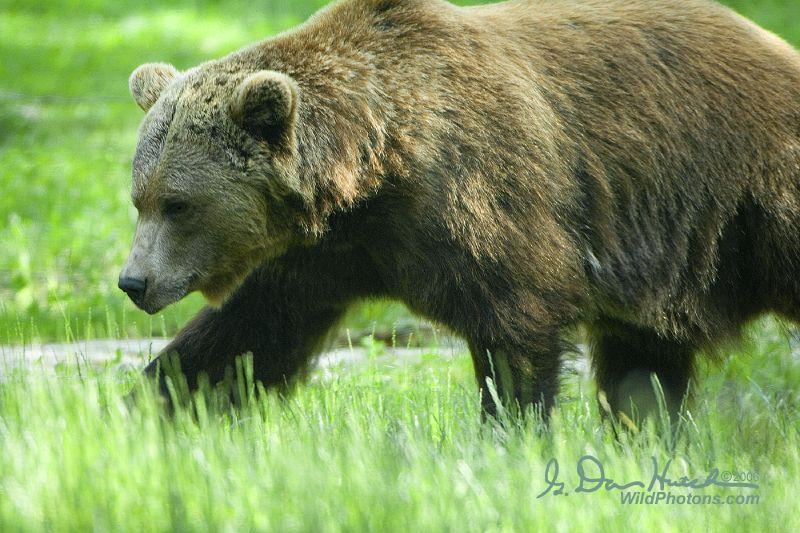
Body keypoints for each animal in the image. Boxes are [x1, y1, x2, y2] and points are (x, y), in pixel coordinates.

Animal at [119, 0, 800, 420]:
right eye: (139, 199)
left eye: (179, 204)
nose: (133, 282)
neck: (372, 172)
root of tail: (774, 45)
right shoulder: (322, 257)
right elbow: (237, 342)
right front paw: (140, 413)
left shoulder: (480, 199)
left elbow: (516, 326)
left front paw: (511, 432)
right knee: (645, 363)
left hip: (748, 195)